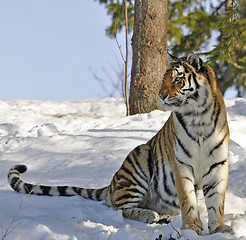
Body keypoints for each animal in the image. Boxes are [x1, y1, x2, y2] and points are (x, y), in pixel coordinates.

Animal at [7, 52, 234, 234]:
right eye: (164, 79)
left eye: (178, 79)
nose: (161, 96)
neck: (198, 117)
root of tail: (111, 184)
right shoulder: (182, 164)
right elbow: (188, 200)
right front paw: (191, 228)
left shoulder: (217, 164)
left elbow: (217, 202)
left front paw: (219, 229)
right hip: (139, 159)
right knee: (120, 208)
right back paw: (150, 215)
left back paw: (163, 216)